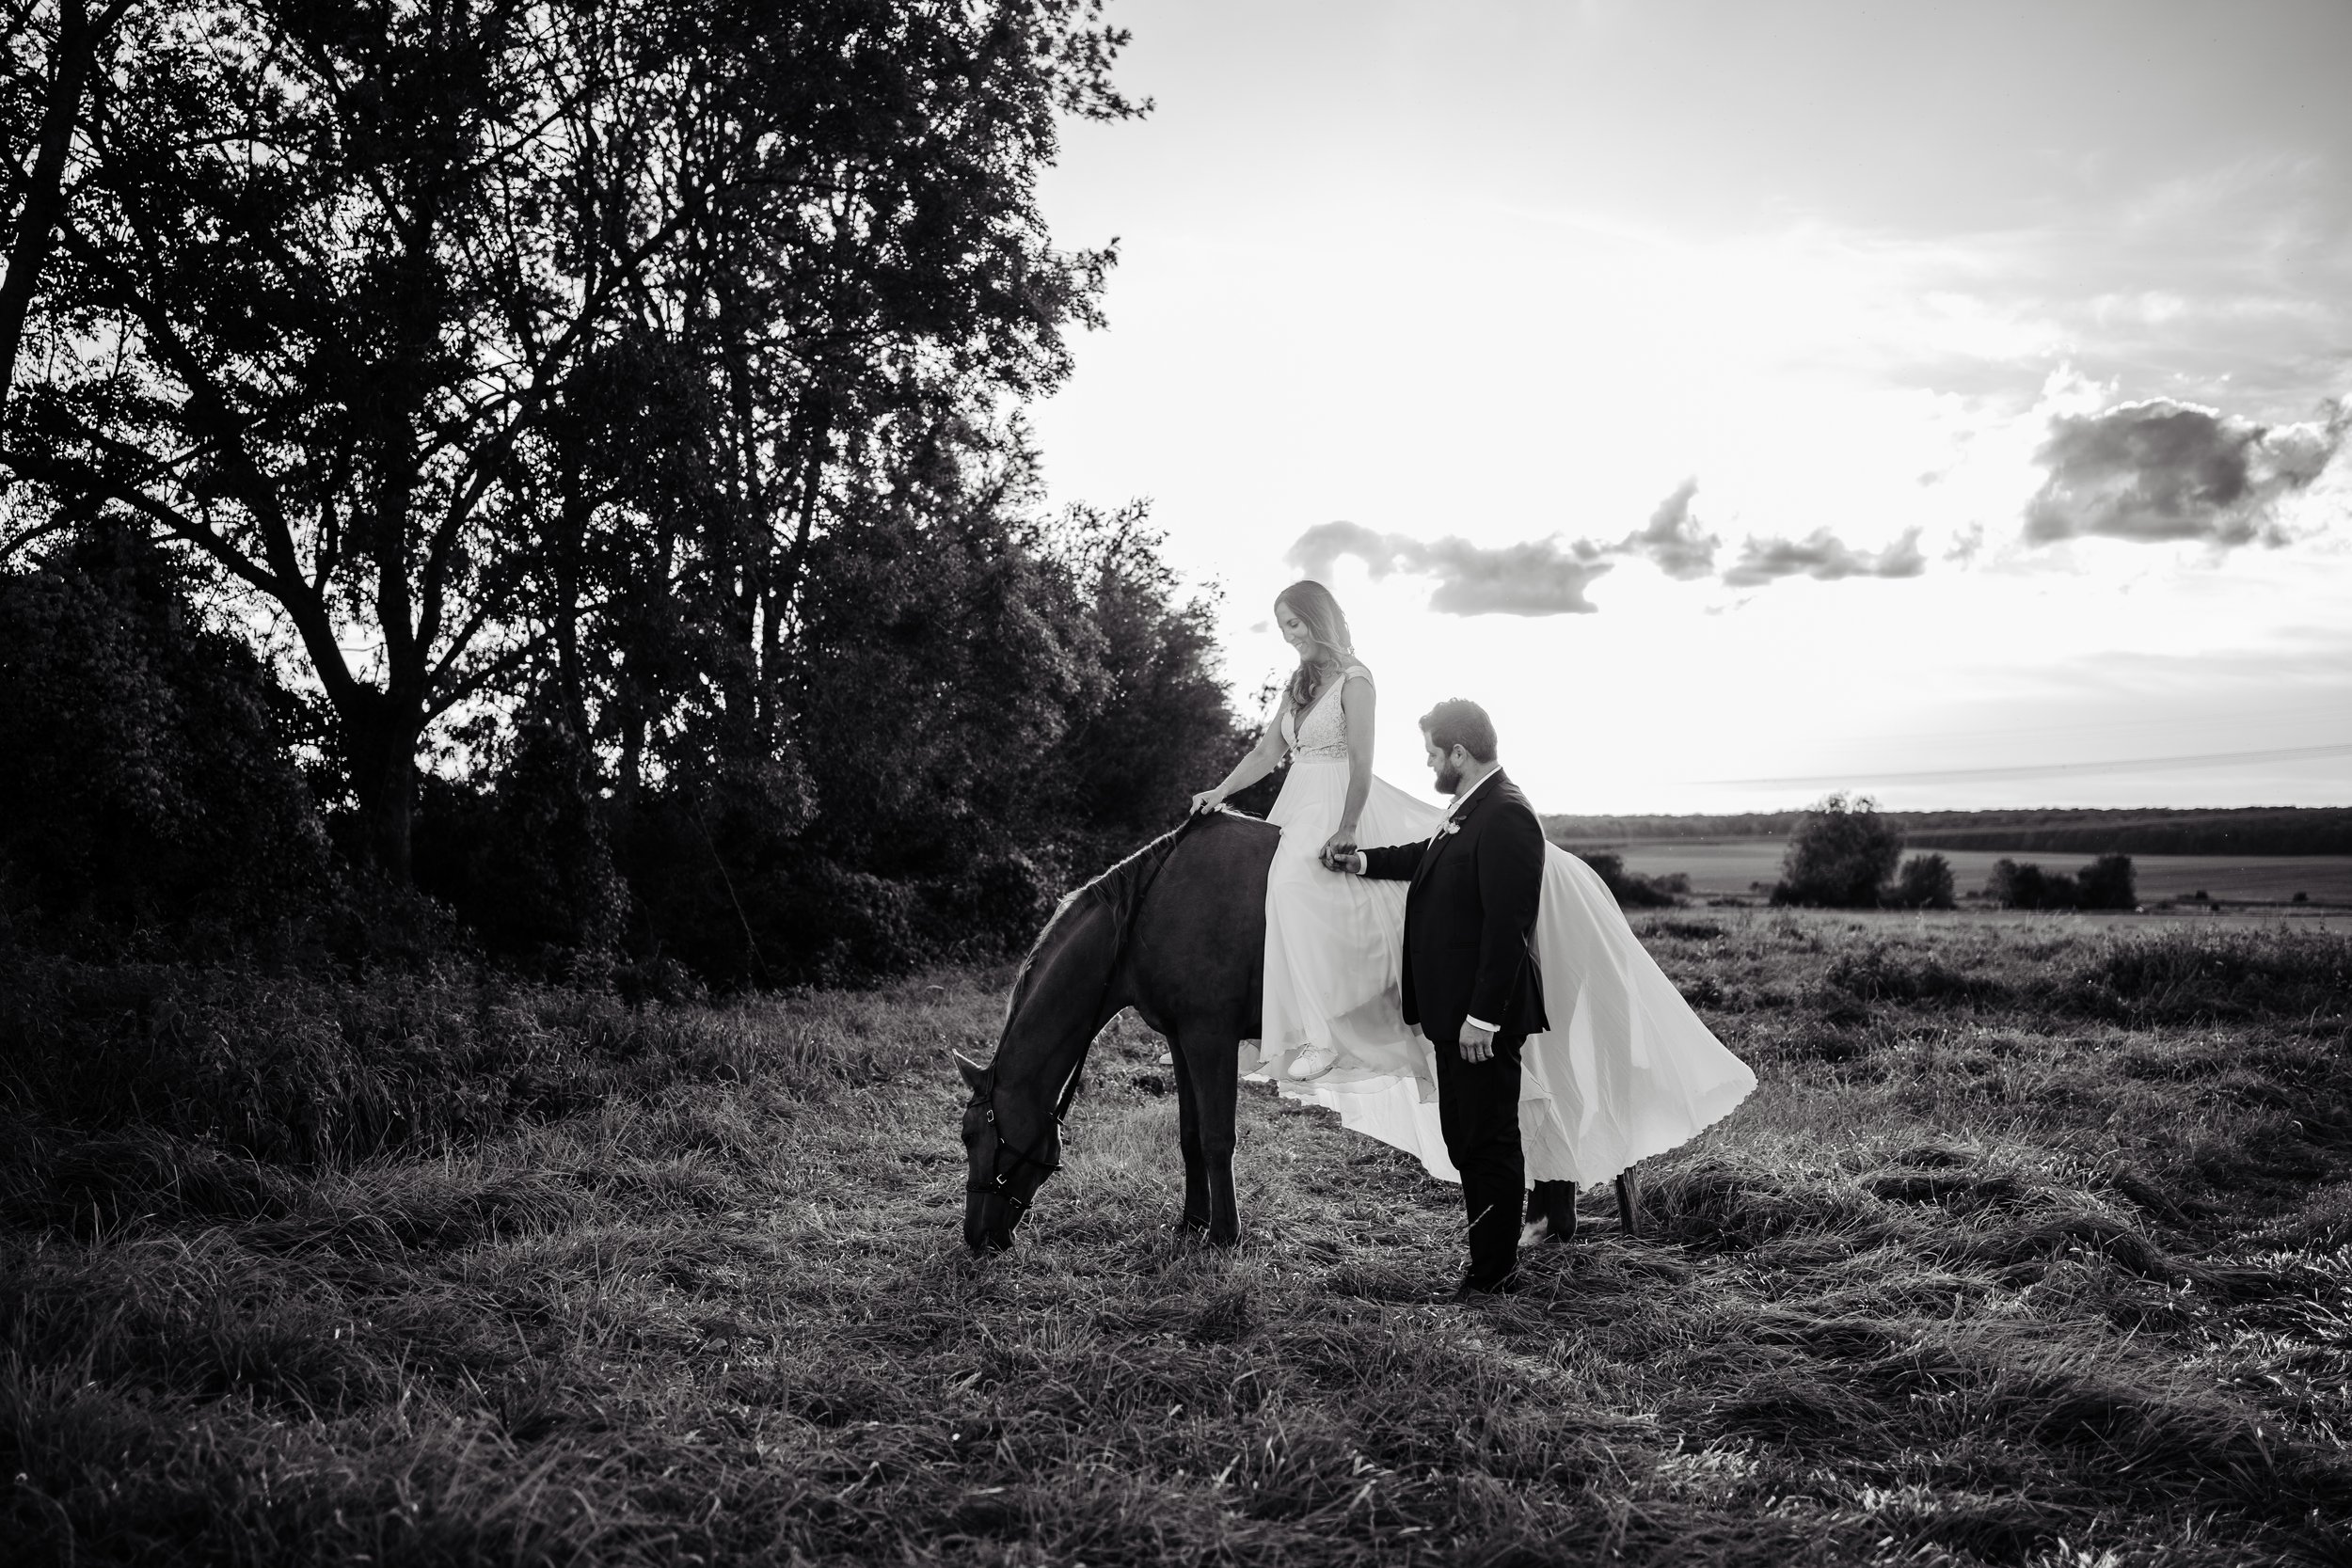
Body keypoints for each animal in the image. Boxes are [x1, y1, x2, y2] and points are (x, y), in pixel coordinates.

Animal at [955, 810, 1641, 1252]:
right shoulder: (1181, 1040)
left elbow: (1218, 1138)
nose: (978, 1239)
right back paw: (1544, 1222)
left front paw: (1224, 1236)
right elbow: (1189, 1138)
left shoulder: (1209, 1038)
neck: (1152, 907)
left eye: (973, 1135)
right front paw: (1190, 1225)